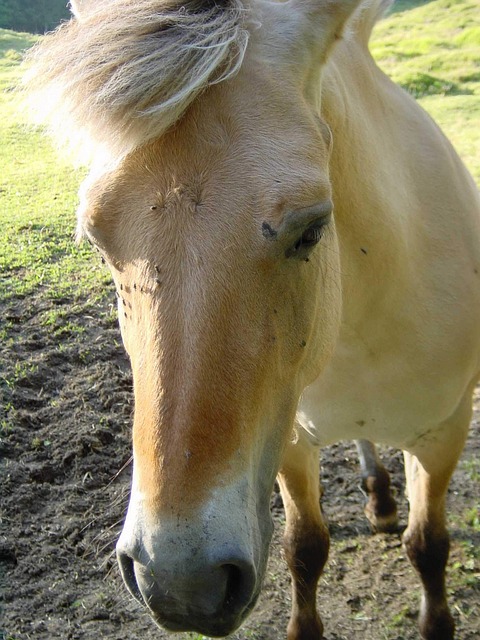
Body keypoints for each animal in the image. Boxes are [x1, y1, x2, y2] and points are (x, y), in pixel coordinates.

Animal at [24, 0, 480, 638]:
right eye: (96, 239)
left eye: (312, 228)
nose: (180, 581)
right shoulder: (286, 440)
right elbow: (305, 548)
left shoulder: (443, 436)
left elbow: (429, 547)